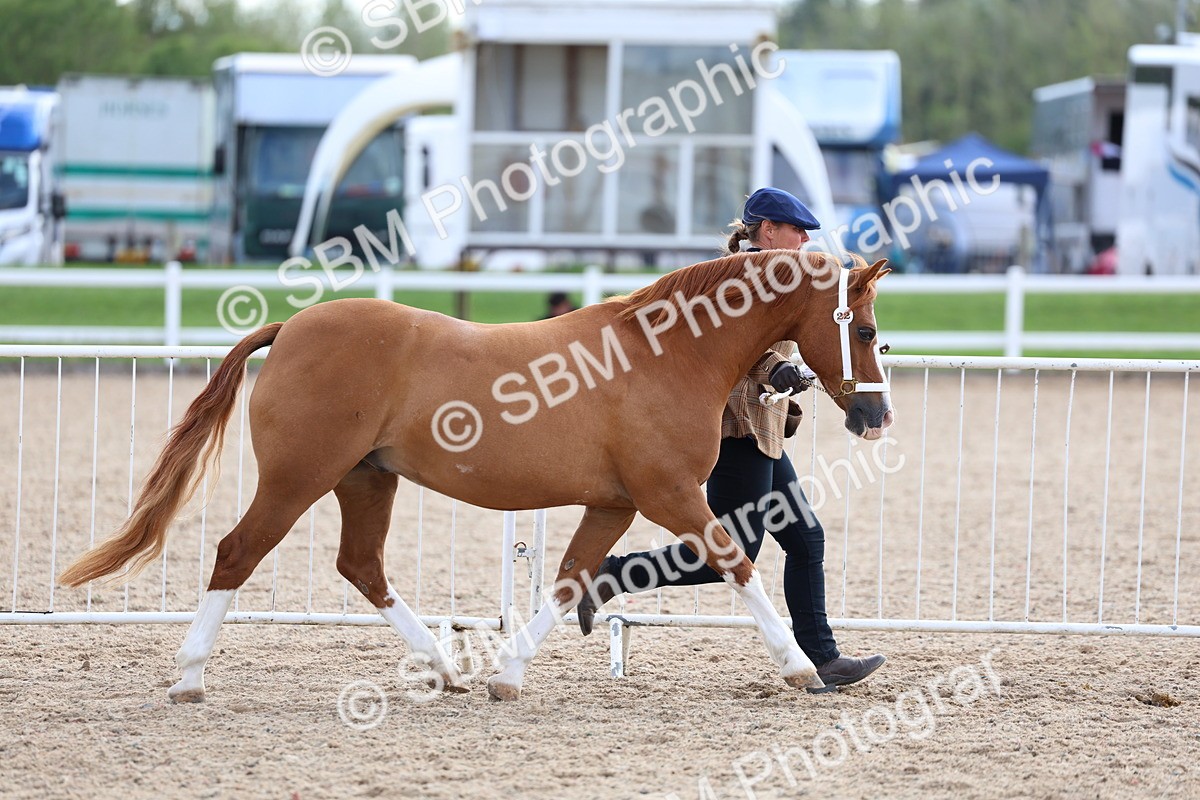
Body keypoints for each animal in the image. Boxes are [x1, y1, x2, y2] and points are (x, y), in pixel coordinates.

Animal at [59, 249, 894, 702]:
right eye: (866, 329)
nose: (875, 415)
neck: (666, 354)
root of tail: (293, 326)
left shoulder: (616, 505)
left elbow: (569, 579)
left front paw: (508, 675)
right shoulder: (669, 495)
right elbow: (739, 565)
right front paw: (801, 668)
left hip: (366, 480)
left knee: (362, 566)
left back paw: (443, 669)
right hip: (299, 479)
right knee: (238, 553)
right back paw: (189, 677)